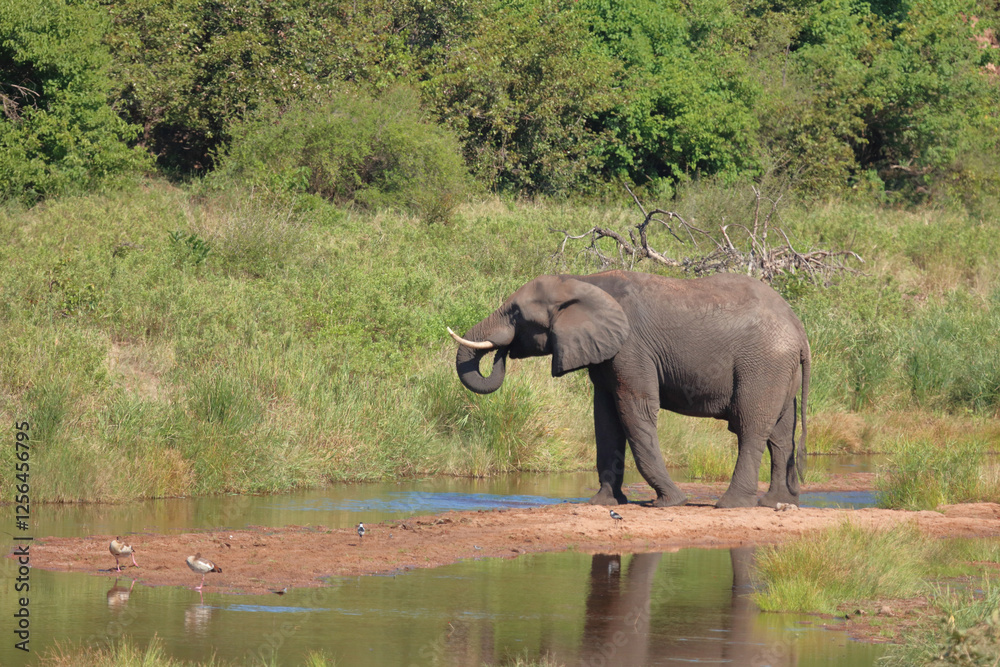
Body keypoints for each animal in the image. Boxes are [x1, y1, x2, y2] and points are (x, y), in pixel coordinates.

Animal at [450, 270, 810, 508]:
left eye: (516, 313)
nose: (503, 351)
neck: (582, 281)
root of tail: (798, 326)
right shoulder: (604, 352)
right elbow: (605, 419)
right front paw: (602, 502)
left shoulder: (631, 348)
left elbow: (635, 411)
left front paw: (669, 503)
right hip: (780, 370)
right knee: (781, 433)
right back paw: (775, 502)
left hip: (762, 365)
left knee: (751, 427)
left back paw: (731, 505)